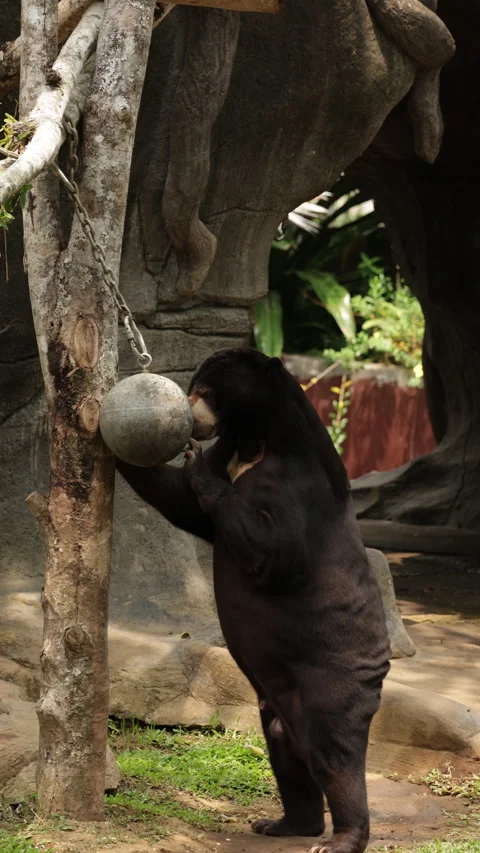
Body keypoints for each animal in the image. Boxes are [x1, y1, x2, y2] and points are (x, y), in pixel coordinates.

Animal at [116, 348, 390, 853]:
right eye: (192, 388)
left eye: (204, 391)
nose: (190, 417)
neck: (255, 439)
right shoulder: (232, 454)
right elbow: (179, 502)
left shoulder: (295, 487)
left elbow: (273, 550)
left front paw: (194, 464)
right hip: (278, 707)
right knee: (286, 754)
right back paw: (284, 824)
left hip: (334, 678)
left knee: (336, 756)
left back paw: (340, 838)